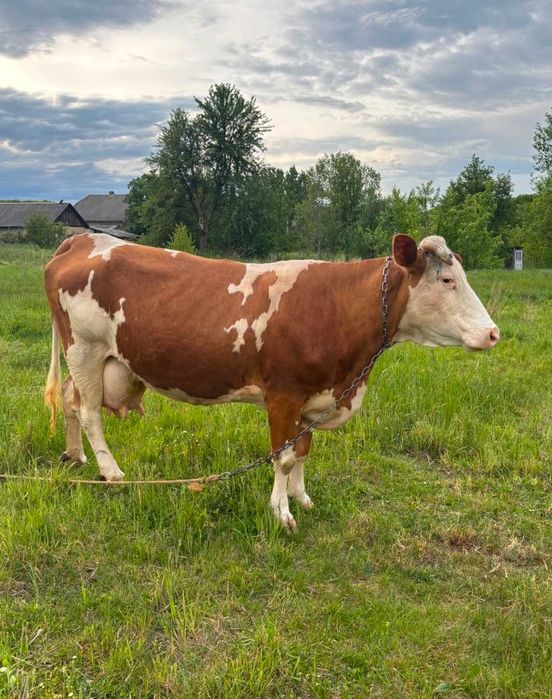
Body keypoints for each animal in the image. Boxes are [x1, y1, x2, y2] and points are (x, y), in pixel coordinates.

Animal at [44, 232, 499, 530]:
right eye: (447, 280)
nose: (493, 333)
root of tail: (82, 239)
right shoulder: (284, 394)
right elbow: (282, 456)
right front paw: (281, 512)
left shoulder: (315, 399)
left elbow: (302, 452)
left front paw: (301, 497)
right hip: (84, 347)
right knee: (89, 411)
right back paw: (111, 472)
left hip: (92, 357)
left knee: (68, 398)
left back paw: (76, 456)